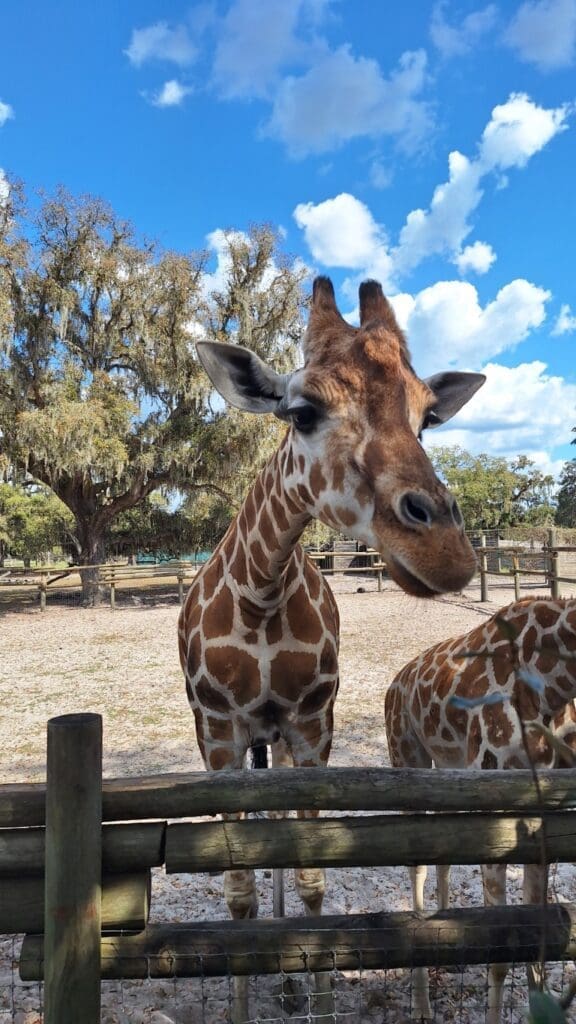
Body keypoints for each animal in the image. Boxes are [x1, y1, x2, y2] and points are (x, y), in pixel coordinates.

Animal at [178, 275, 485, 1021]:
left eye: (427, 417)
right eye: (302, 411)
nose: (447, 553)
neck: (261, 594)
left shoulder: (312, 726)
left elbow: (313, 873)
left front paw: (311, 991)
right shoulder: (219, 735)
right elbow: (237, 890)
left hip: (282, 742)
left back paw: (289, 981)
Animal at [385, 596, 576, 1023]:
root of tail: (397, 681)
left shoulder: (536, 807)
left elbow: (536, 952)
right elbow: (500, 957)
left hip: (449, 769)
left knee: (441, 851)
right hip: (407, 755)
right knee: (416, 863)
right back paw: (422, 1004)